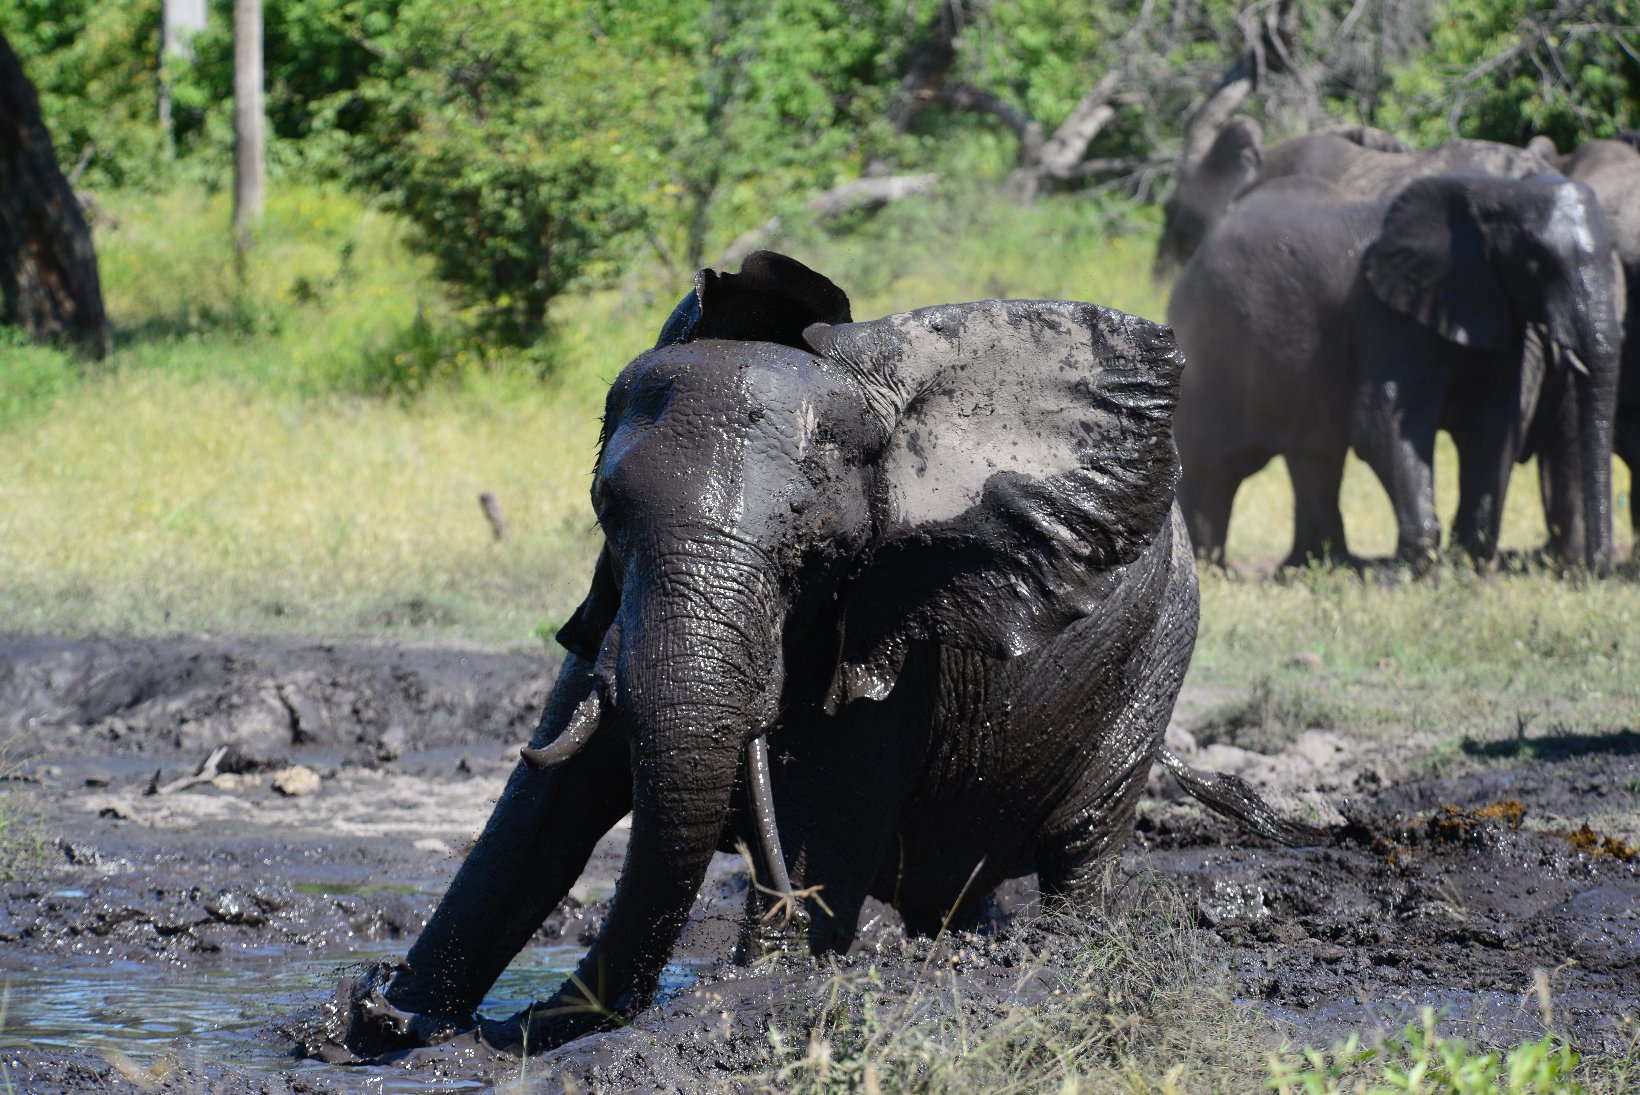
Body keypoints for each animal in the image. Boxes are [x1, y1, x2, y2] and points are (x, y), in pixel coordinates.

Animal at [328, 252, 1309, 1058]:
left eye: (818, 556)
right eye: (607, 512)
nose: (519, 1024)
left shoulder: (893, 632)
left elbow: (820, 821)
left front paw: (763, 981)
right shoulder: (609, 611)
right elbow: (543, 806)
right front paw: (376, 1026)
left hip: (1156, 656)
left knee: (1085, 840)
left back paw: (1063, 955)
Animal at [1168, 170, 1623, 572]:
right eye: (1535, 263)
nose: (1595, 571)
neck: (1496, 191)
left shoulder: (1499, 311)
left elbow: (1493, 427)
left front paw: (1467, 565)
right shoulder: (1388, 313)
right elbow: (1382, 421)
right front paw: (1417, 572)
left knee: (1314, 452)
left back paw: (1321, 567)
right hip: (1212, 344)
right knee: (1214, 459)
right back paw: (1213, 569)